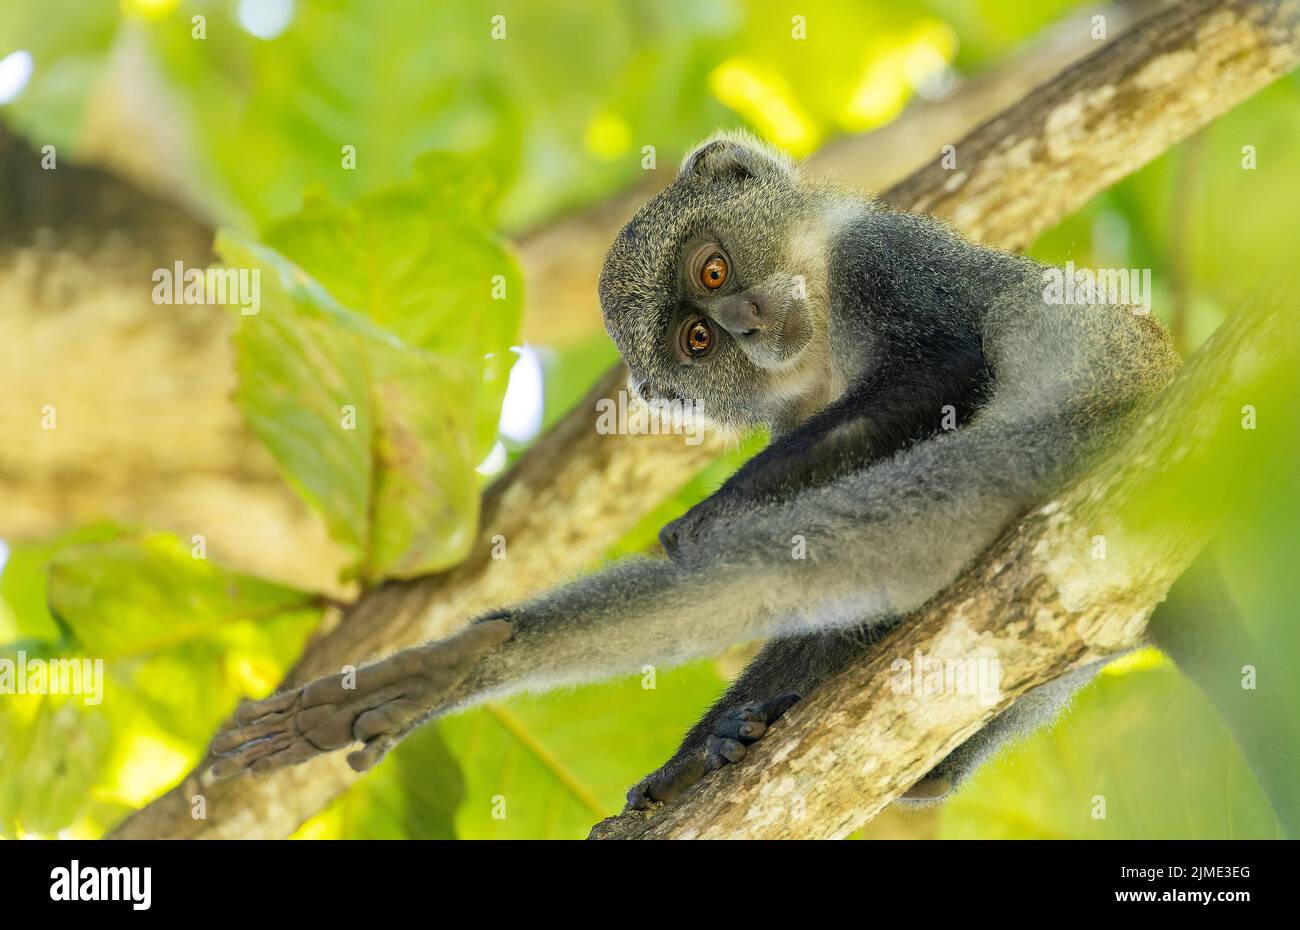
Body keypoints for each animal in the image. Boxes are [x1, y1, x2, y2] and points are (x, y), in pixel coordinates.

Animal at [208, 130, 1185, 816]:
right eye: (700, 340)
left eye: (714, 270)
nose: (747, 320)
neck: (818, 337)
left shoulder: (886, 258)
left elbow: (942, 368)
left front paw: (715, 510)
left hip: (1050, 434)